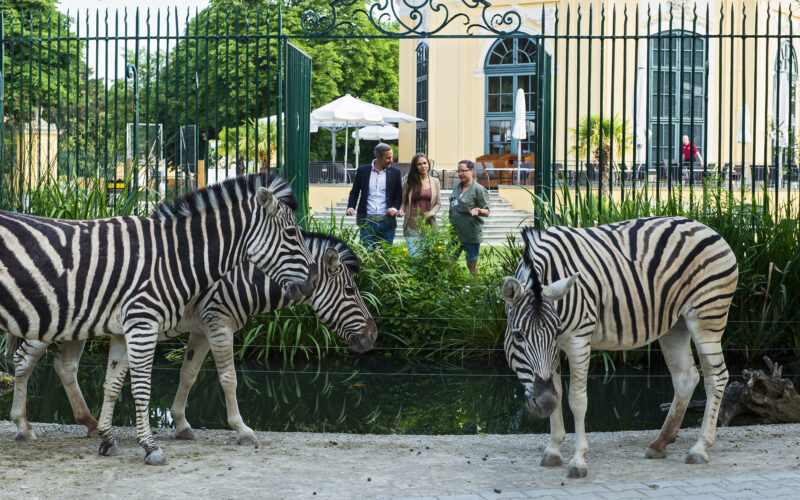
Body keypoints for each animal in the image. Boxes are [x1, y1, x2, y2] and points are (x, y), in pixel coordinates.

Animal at [0, 173, 316, 465]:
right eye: (292, 233)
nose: (312, 283)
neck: (173, 257)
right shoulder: (144, 324)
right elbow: (143, 387)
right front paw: (150, 447)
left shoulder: (123, 330)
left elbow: (113, 384)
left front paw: (107, 439)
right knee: (25, 360)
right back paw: (23, 426)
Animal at [7, 231, 376, 446]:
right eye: (350, 291)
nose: (373, 336)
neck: (241, 278)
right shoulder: (219, 323)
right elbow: (228, 378)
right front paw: (242, 429)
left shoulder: (201, 329)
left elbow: (189, 374)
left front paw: (182, 424)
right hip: (48, 320)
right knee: (23, 361)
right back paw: (23, 426)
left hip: (77, 326)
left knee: (64, 366)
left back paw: (89, 422)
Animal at [502, 216, 738, 478]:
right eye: (518, 335)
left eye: (553, 333)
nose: (544, 404)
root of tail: (703, 225)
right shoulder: (555, 351)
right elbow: (558, 392)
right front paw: (553, 450)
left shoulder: (577, 338)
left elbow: (577, 400)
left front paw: (578, 460)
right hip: (675, 325)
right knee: (685, 377)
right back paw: (660, 443)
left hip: (707, 318)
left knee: (716, 377)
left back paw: (700, 447)